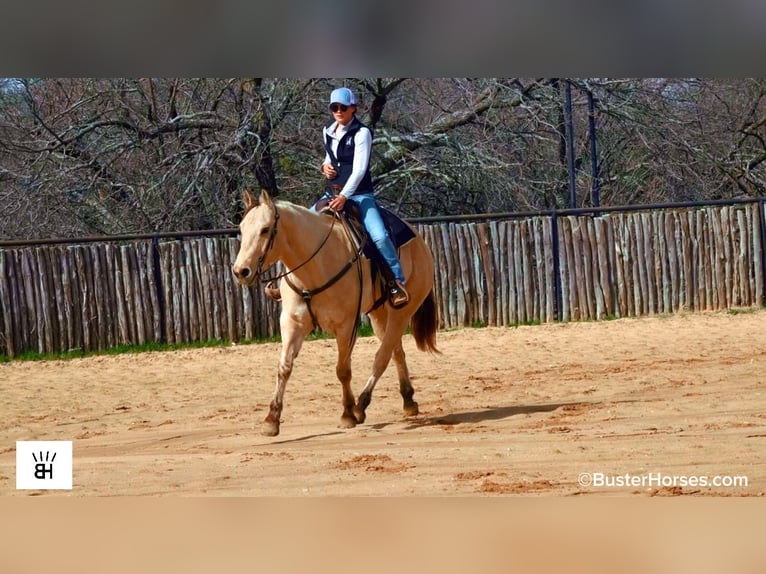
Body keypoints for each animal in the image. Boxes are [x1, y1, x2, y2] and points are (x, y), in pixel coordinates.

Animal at [232, 188, 439, 436]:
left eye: (265, 229)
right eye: (242, 228)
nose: (241, 271)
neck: (313, 268)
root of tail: (419, 241)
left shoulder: (346, 326)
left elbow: (343, 370)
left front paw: (347, 414)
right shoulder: (292, 324)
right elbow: (284, 368)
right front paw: (271, 420)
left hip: (403, 311)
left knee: (382, 357)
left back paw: (361, 405)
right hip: (379, 314)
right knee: (396, 351)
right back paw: (407, 400)